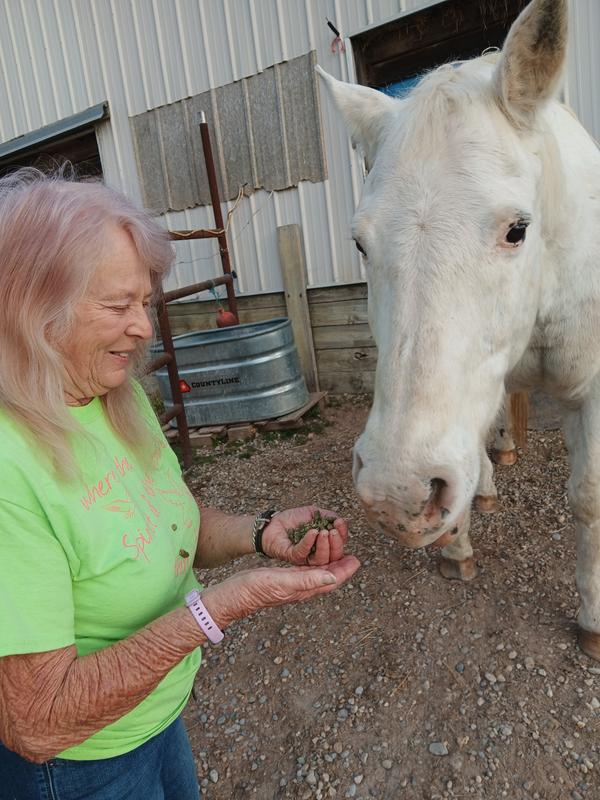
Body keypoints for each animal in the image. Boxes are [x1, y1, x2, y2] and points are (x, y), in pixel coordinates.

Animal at [317, 0, 600, 661]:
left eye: (517, 229)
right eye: (359, 243)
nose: (396, 494)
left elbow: (589, 499)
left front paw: (593, 620)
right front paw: (458, 549)